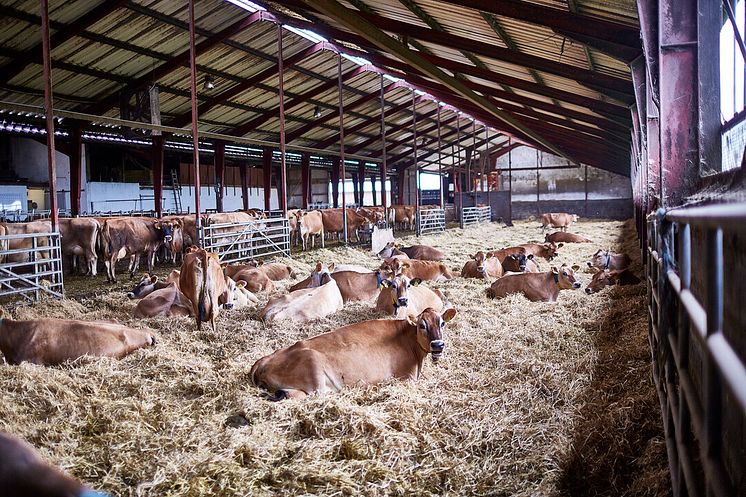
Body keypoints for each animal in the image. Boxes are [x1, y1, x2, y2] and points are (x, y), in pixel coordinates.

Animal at [250, 306, 456, 400]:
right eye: (422, 325)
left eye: (442, 323)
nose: (438, 345)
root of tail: (263, 360)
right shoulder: (407, 378)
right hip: (313, 370)